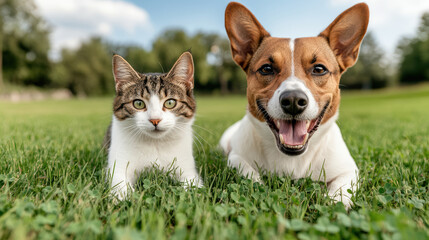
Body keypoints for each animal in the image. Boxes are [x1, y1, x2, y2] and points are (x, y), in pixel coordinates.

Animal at [105, 52, 202, 201]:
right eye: (138, 103)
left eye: (170, 103)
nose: (155, 120)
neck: (155, 143)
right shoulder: (117, 167)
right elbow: (120, 186)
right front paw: (125, 198)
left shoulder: (188, 171)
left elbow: (193, 186)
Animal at [219, 2, 370, 208]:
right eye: (267, 68)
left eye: (319, 69)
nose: (292, 101)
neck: (293, 159)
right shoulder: (236, 158)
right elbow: (248, 173)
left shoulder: (348, 170)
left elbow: (340, 191)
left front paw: (333, 202)